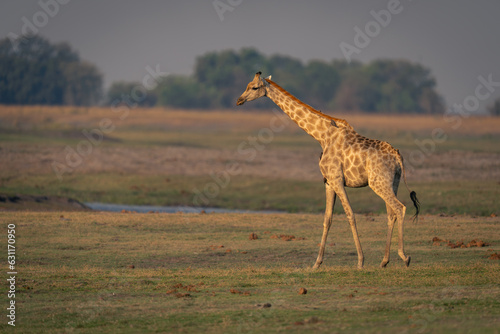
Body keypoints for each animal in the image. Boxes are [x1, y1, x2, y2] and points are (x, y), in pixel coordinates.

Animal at [236, 71, 420, 268]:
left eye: (254, 87)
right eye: (247, 85)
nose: (239, 100)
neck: (322, 136)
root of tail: (397, 157)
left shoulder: (337, 179)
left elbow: (350, 215)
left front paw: (360, 261)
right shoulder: (328, 182)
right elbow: (327, 218)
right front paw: (317, 263)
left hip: (378, 183)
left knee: (399, 208)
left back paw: (405, 257)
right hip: (392, 182)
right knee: (391, 214)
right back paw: (384, 261)